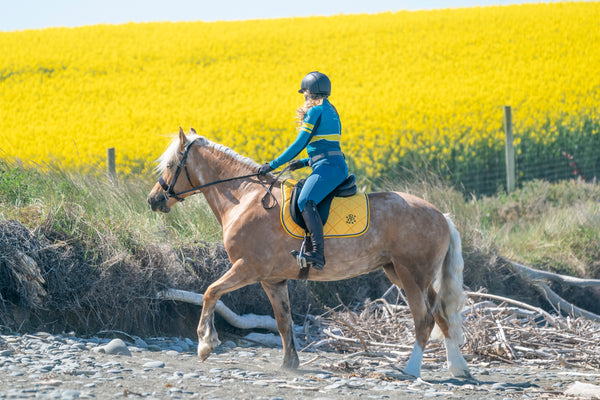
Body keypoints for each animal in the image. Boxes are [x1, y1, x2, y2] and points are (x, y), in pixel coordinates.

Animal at [148, 127, 472, 378]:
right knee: (441, 315)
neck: (245, 198)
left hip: (411, 276)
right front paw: (289, 363)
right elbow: (283, 320)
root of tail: (442, 216)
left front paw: (205, 344)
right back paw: (458, 368)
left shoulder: (247, 268)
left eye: (171, 164)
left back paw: (411, 370)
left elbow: (210, 292)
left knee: (424, 320)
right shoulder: (272, 279)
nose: (154, 199)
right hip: (408, 275)